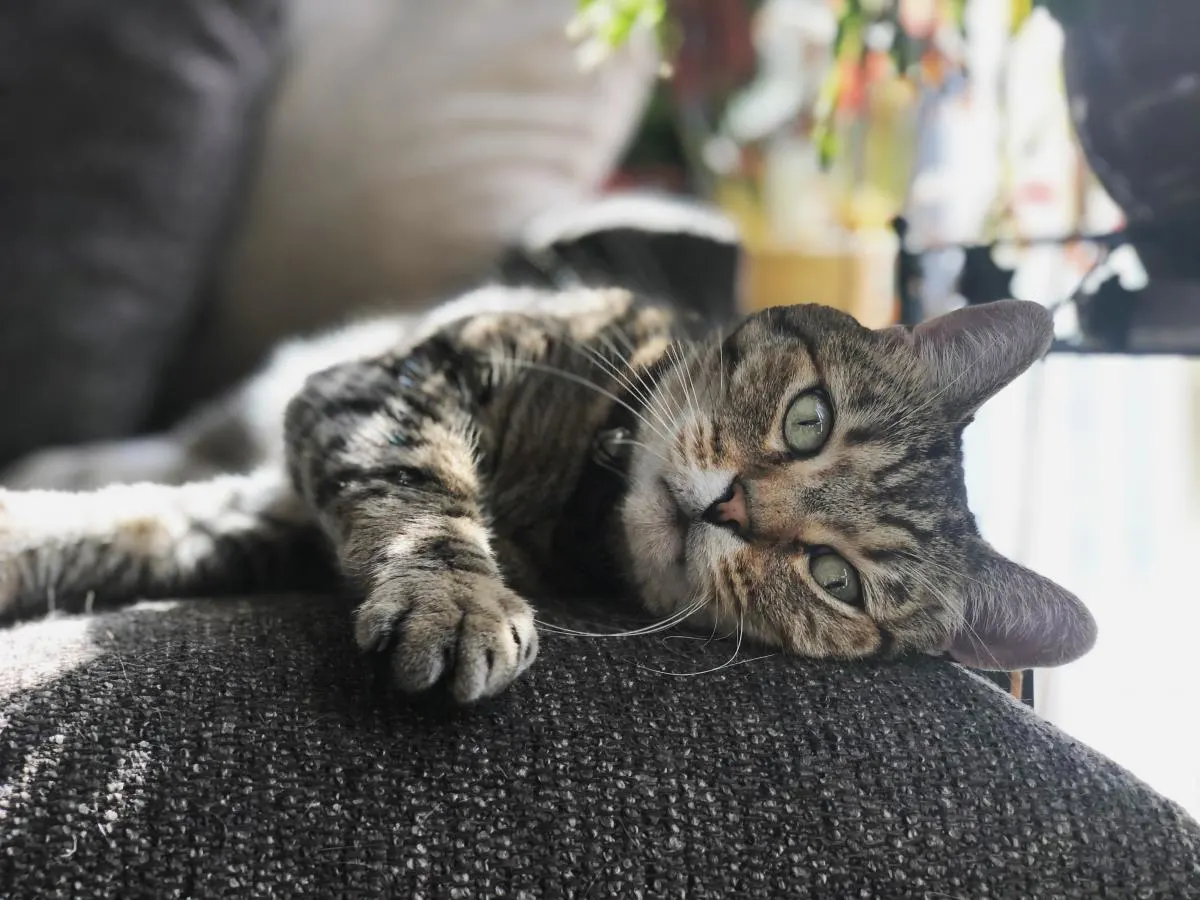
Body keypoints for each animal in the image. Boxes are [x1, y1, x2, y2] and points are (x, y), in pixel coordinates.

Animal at [0, 283, 1099, 705]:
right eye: (807, 420)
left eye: (834, 578)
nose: (729, 508)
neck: (577, 497)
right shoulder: (382, 385)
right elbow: (422, 486)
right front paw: (456, 598)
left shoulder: (259, 517)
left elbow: (110, 534)